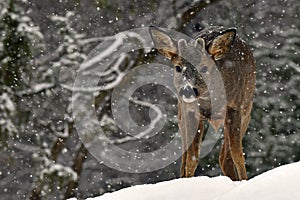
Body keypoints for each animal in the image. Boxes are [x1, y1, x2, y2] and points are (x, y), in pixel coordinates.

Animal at [150, 25, 255, 180]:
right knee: (187, 158)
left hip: (247, 111)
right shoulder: (190, 112)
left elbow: (237, 154)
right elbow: (192, 159)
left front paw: (244, 181)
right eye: (178, 67)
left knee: (225, 157)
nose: (188, 90)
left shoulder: (235, 106)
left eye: (204, 68)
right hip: (181, 115)